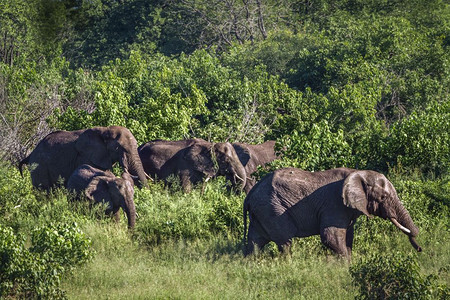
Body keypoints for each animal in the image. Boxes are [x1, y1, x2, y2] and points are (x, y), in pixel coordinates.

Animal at [243, 168, 422, 258]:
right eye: (383, 197)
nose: (420, 249)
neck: (358, 172)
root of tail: (250, 194)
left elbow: (348, 238)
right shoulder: (334, 205)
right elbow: (330, 237)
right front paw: (344, 268)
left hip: (262, 212)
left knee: (255, 242)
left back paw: (250, 263)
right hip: (272, 210)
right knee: (285, 242)